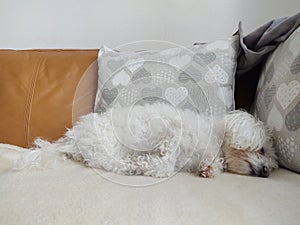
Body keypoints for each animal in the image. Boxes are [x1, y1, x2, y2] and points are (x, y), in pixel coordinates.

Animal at [15, 103, 278, 178]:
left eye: (272, 163)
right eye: (262, 149)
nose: (266, 171)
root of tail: (72, 138)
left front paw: (209, 169)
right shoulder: (173, 133)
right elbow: (165, 163)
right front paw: (151, 165)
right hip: (107, 146)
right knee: (110, 163)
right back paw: (134, 166)